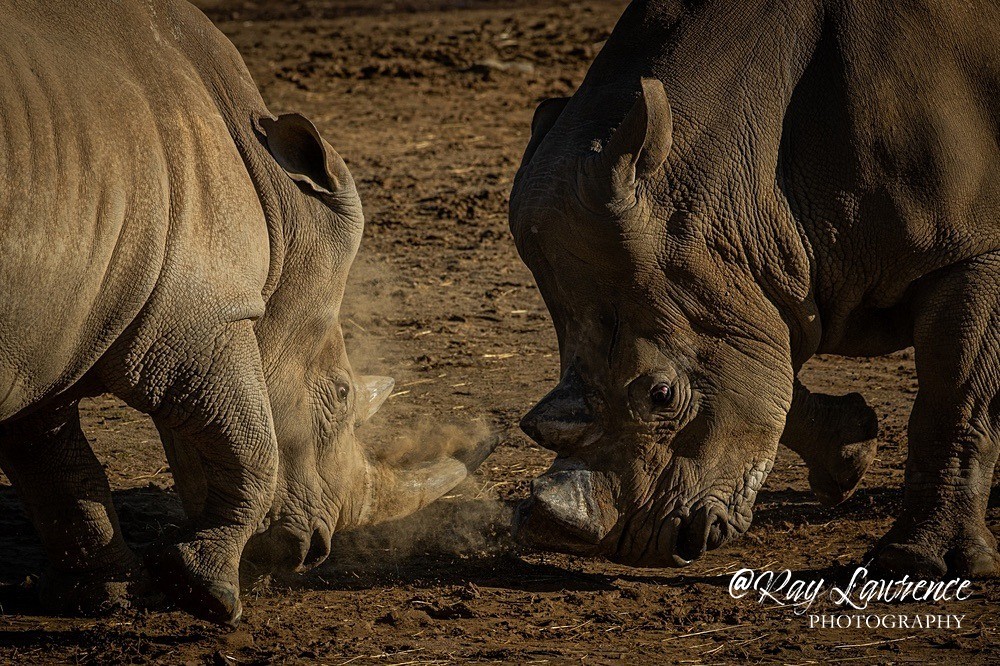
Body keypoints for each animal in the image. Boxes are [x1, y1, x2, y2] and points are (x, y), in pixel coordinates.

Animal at [0, 0, 490, 625]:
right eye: (341, 395)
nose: (313, 555)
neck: (281, 205)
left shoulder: (49, 330)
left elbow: (53, 460)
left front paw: (103, 596)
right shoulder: (198, 319)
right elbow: (252, 441)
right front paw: (203, 590)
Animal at [510, 0, 1000, 577]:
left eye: (660, 396)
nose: (635, 548)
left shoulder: (973, 245)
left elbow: (955, 396)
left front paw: (916, 563)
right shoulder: (741, 280)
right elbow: (772, 365)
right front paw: (850, 450)